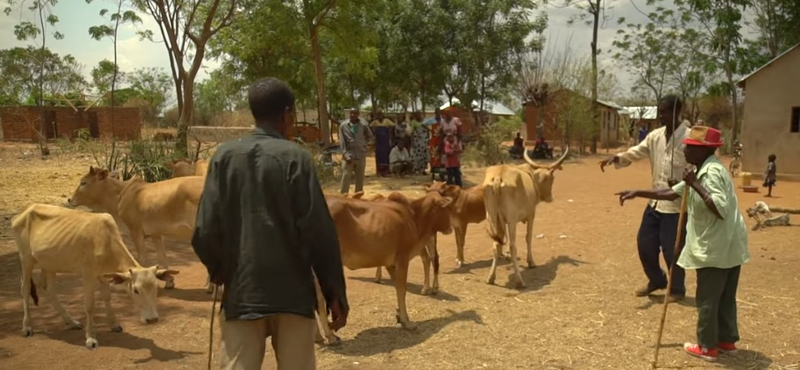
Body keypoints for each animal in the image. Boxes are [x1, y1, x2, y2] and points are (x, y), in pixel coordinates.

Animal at [12, 204, 178, 348]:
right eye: (136, 290)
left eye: (155, 288)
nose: (153, 319)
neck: (106, 241)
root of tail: (25, 211)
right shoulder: (88, 274)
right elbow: (89, 305)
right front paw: (91, 338)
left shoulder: (104, 276)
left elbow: (107, 297)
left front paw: (114, 324)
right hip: (26, 259)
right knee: (25, 288)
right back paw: (27, 326)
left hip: (50, 264)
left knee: (49, 289)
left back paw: (71, 322)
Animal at [67, 166, 205, 290]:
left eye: (84, 182)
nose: (69, 199)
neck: (120, 195)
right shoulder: (156, 234)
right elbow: (162, 257)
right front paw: (169, 283)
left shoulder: (135, 232)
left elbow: (142, 259)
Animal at [318, 185, 456, 330]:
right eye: (447, 208)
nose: (450, 228)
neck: (414, 216)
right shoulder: (402, 259)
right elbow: (401, 289)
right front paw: (406, 321)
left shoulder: (390, 263)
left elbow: (398, 287)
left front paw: (400, 315)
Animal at [482, 146, 568, 288]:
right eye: (552, 178)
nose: (550, 198)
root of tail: (498, 177)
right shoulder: (531, 215)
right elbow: (528, 237)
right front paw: (531, 262)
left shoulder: (503, 221)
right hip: (511, 220)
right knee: (513, 246)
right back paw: (519, 280)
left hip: (492, 217)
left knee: (495, 244)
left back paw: (491, 278)